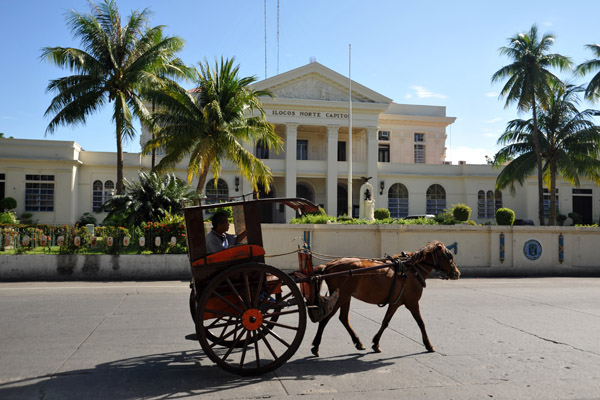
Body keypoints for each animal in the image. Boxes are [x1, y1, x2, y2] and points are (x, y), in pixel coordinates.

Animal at [310, 241, 460, 356]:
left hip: (346, 296)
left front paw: (376, 343)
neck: (412, 270)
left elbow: (385, 322)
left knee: (343, 318)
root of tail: (329, 266)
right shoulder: (412, 303)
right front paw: (429, 345)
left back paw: (358, 342)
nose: (457, 273)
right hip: (341, 296)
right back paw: (316, 346)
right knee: (326, 319)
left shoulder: (395, 303)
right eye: (449, 257)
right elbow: (421, 323)